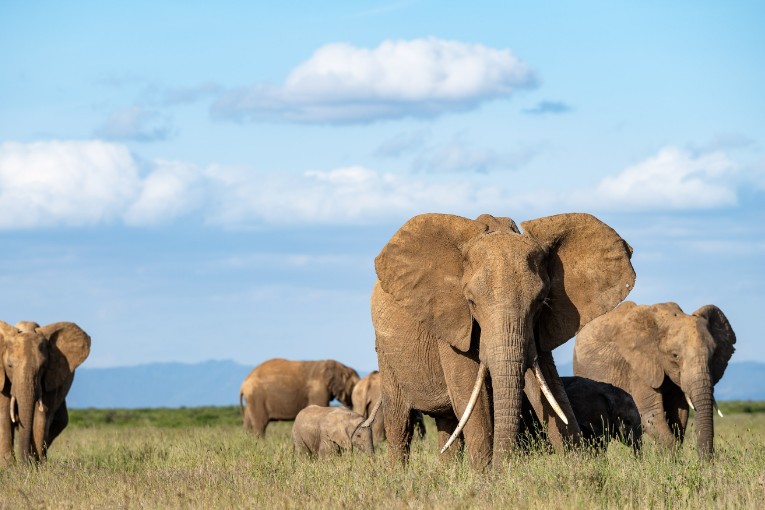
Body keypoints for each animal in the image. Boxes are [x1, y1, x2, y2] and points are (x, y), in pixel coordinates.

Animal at [0, 322, 91, 466]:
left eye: (43, 367)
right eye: (9, 366)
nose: (23, 464)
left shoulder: (51, 376)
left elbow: (41, 416)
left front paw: (36, 466)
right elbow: (4, 415)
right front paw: (9, 467)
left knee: (59, 422)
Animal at [370, 213, 632, 468]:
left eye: (541, 301)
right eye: (471, 302)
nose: (502, 466)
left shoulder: (538, 329)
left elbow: (549, 386)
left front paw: (581, 470)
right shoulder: (452, 325)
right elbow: (472, 394)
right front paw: (488, 478)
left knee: (447, 424)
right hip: (386, 354)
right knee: (399, 423)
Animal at [572, 300, 736, 460]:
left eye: (714, 354)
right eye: (675, 355)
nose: (706, 463)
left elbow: (679, 415)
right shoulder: (638, 368)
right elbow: (650, 415)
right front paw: (673, 462)